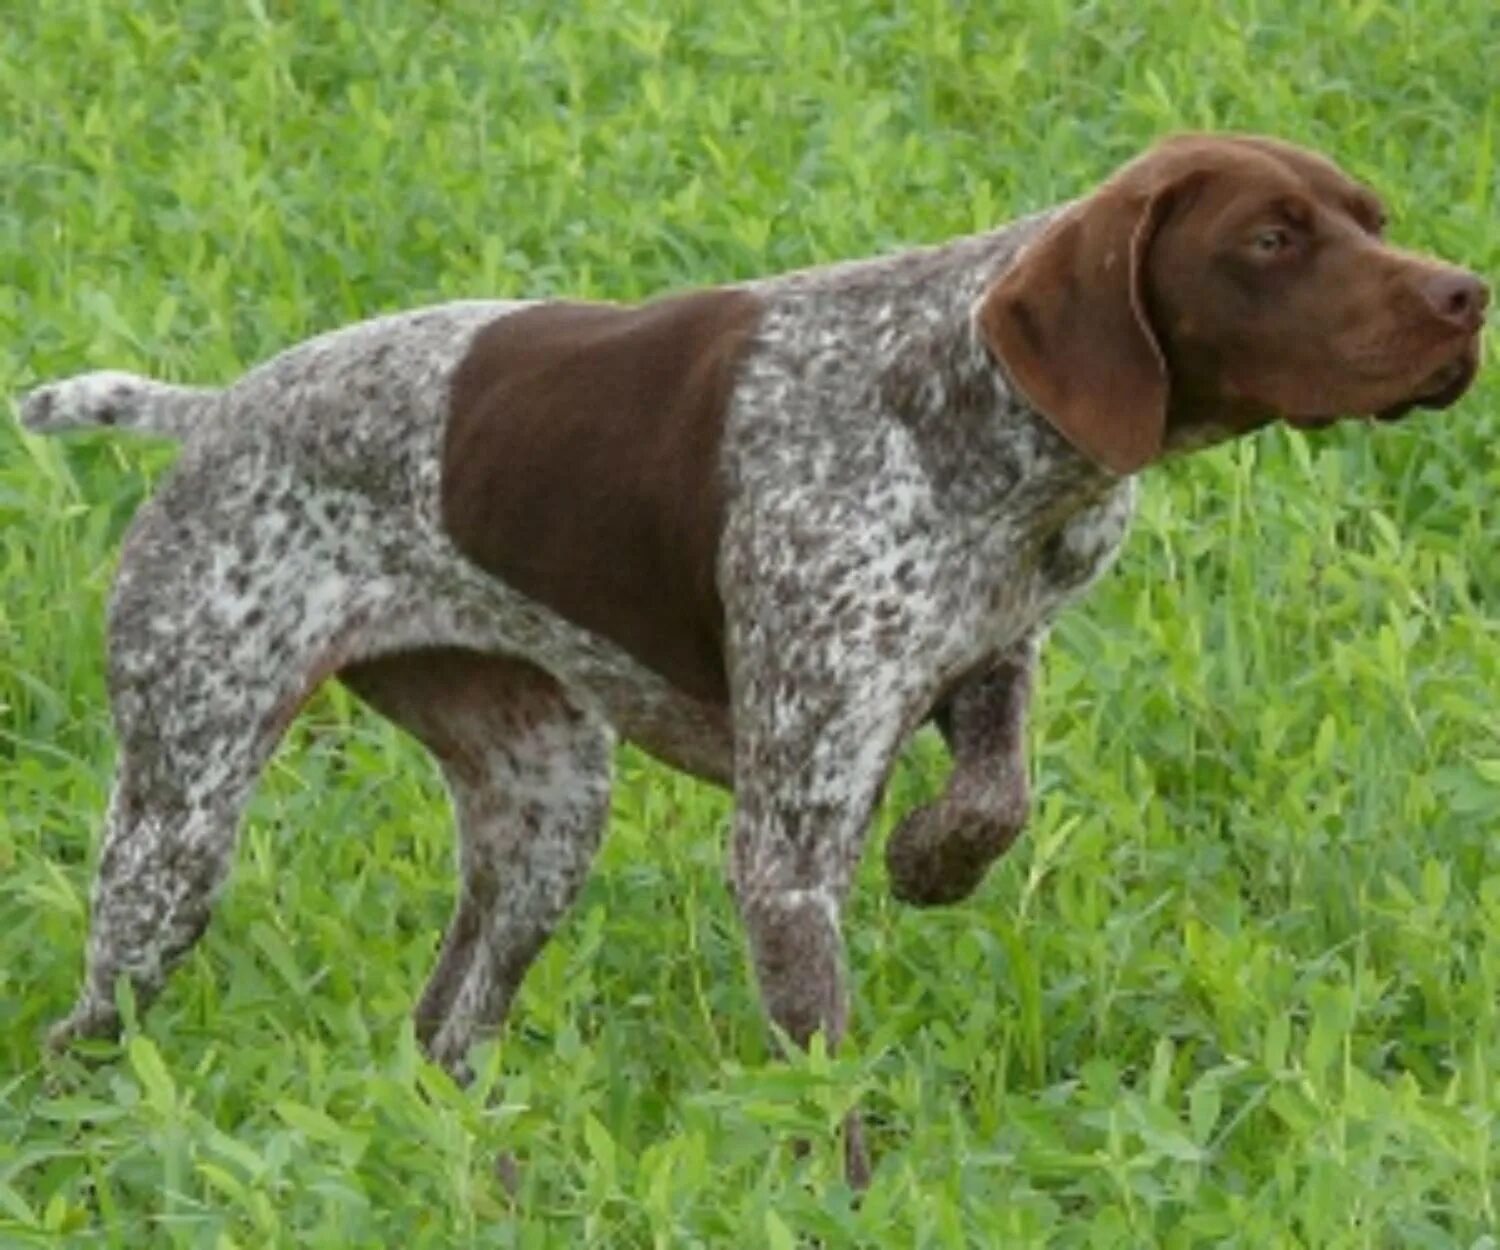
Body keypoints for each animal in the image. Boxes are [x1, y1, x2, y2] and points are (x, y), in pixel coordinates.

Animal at [20, 134, 1488, 1182]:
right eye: (1273, 238)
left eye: (1374, 219)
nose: (1467, 297)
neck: (969, 413)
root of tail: (221, 408)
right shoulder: (788, 843)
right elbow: (825, 1074)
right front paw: (848, 1198)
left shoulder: (989, 656)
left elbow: (998, 795)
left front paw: (934, 860)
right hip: (179, 824)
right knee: (79, 1033)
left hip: (545, 804)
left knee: (447, 1028)